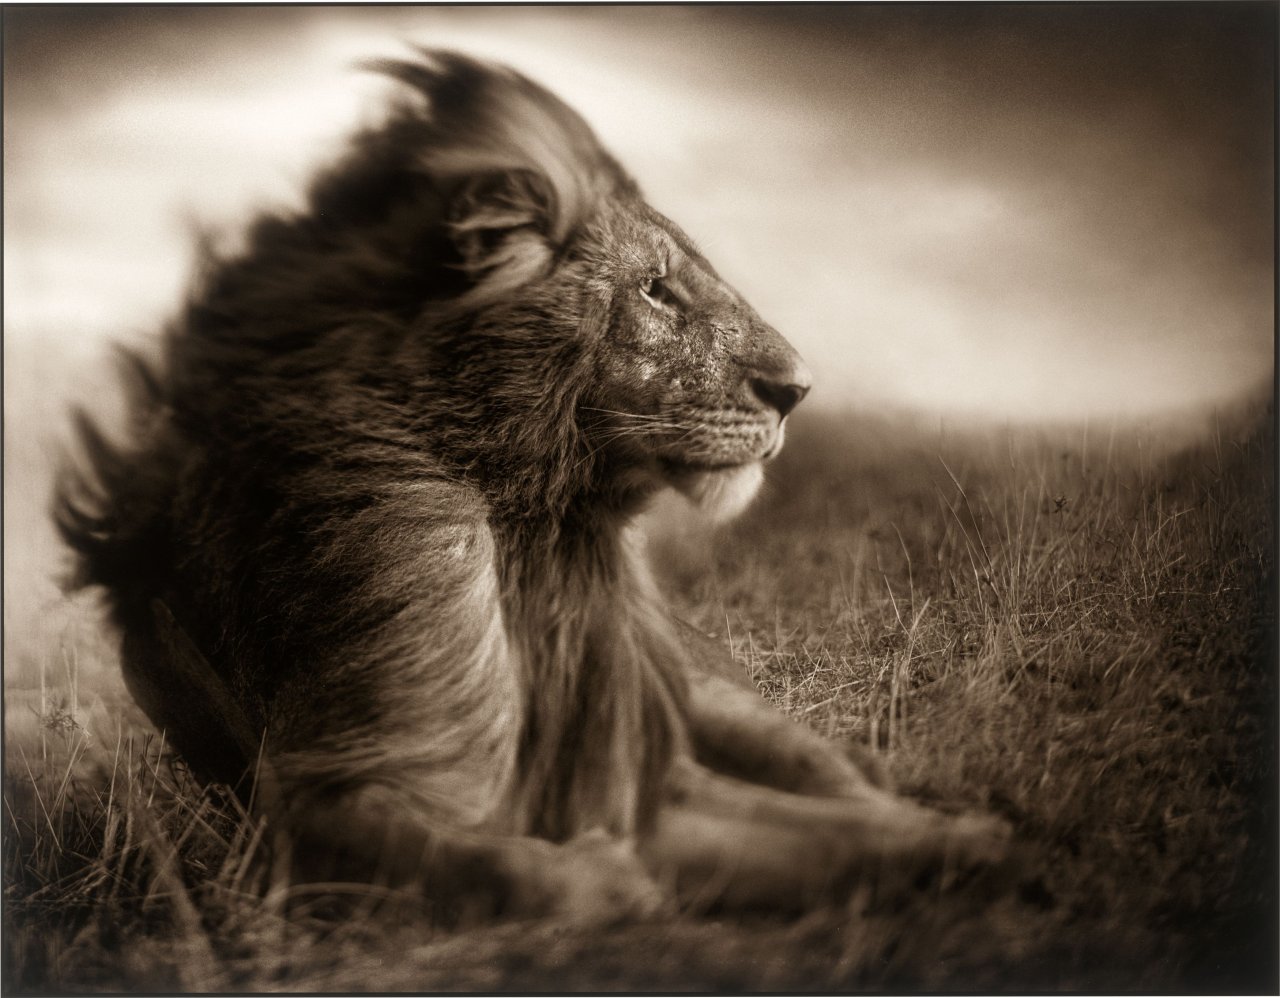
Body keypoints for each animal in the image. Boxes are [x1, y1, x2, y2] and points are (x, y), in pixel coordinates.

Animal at [55, 49, 1011, 921]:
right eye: (656, 290)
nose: (798, 390)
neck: (537, 526)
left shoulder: (645, 775)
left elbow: (846, 833)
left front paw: (979, 841)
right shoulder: (316, 805)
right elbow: (495, 866)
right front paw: (605, 880)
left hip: (713, 696)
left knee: (832, 769)